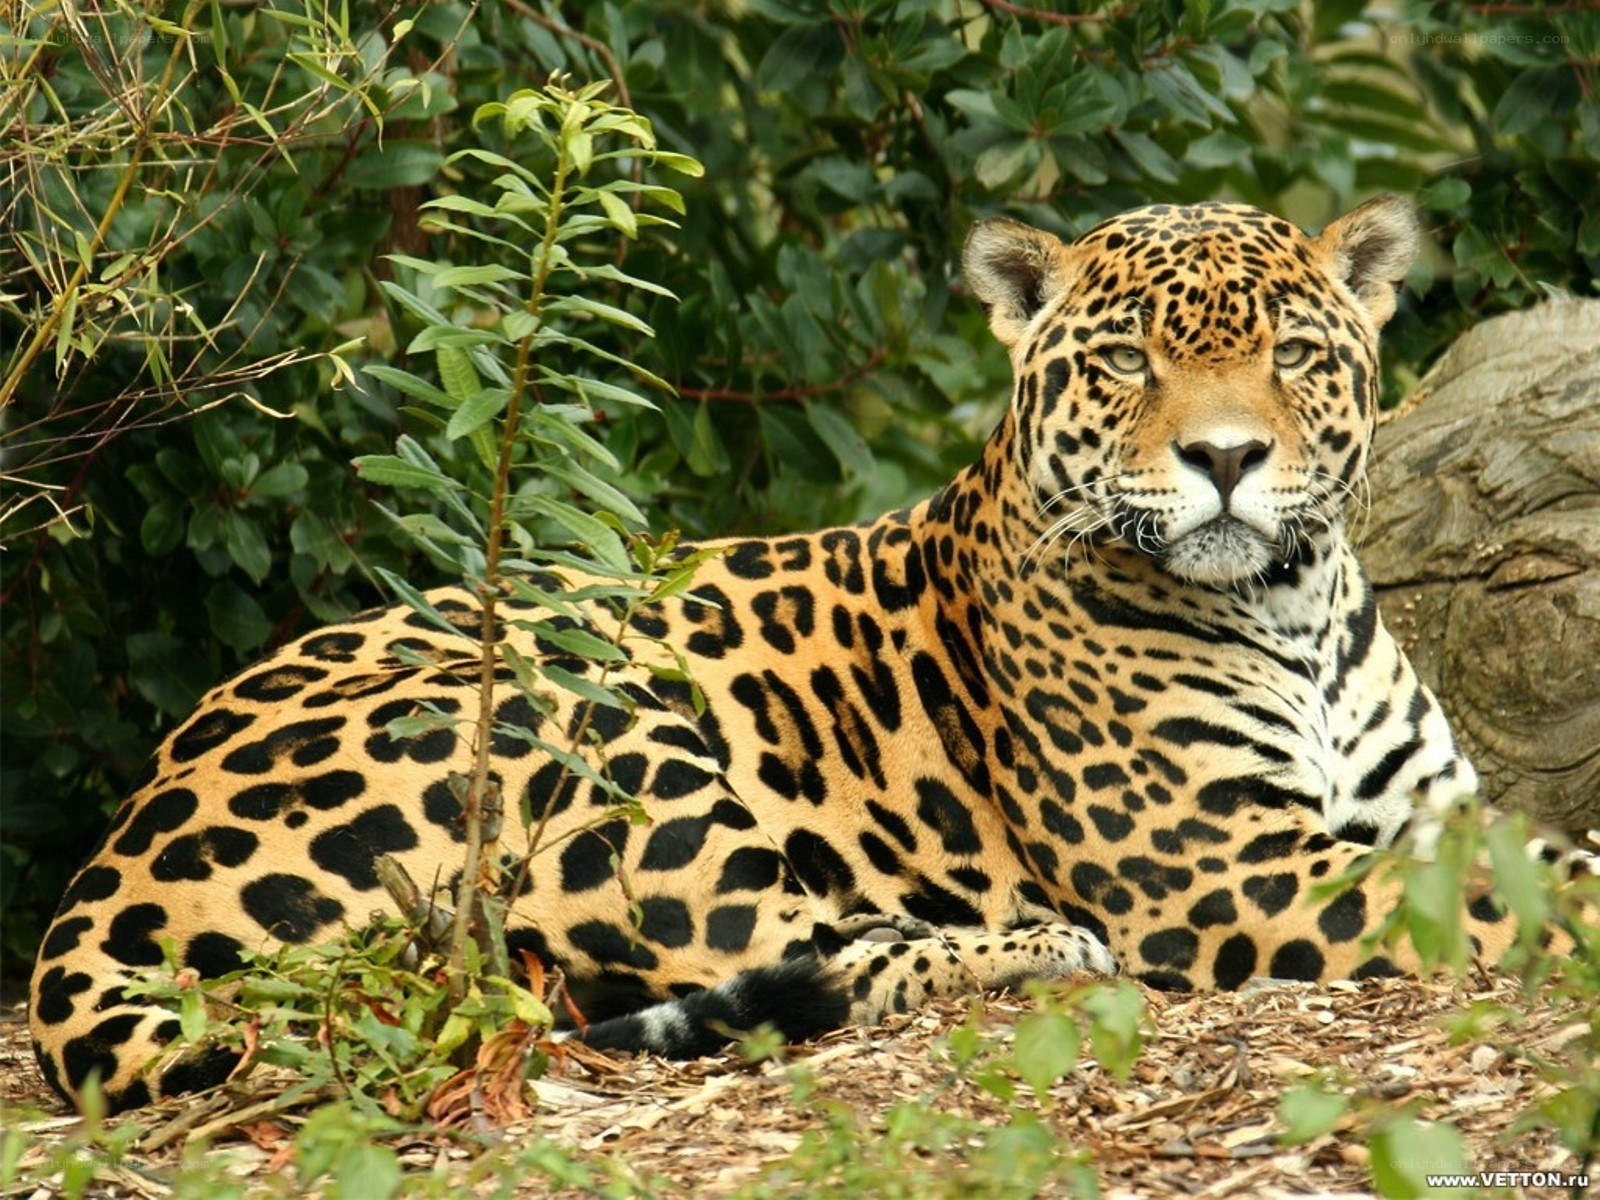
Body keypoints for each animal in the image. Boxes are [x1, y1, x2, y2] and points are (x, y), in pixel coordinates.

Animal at [29, 195, 1542, 1113]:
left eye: (1294, 355)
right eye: (1124, 364)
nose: (1225, 460)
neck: (1291, 609)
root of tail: (108, 866)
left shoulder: (1427, 803)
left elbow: (1520, 853)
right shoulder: (1219, 867)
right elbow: (1503, 896)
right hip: (584, 721)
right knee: (782, 954)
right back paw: (1037, 945)